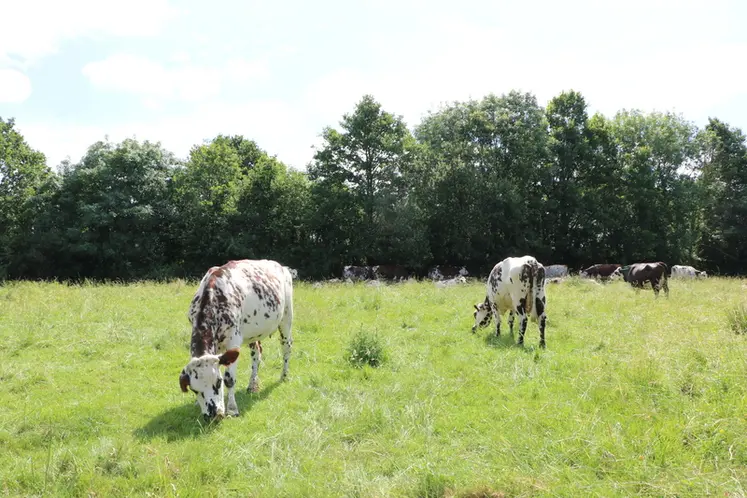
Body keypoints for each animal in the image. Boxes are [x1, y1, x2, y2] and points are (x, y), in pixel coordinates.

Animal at [179, 259, 294, 421]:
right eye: (194, 390)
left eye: (218, 382)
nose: (213, 414)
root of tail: (281, 266)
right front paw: (197, 404)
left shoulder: (233, 340)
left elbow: (230, 379)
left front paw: (232, 409)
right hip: (253, 333)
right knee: (257, 354)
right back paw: (252, 384)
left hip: (286, 318)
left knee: (286, 347)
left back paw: (283, 376)